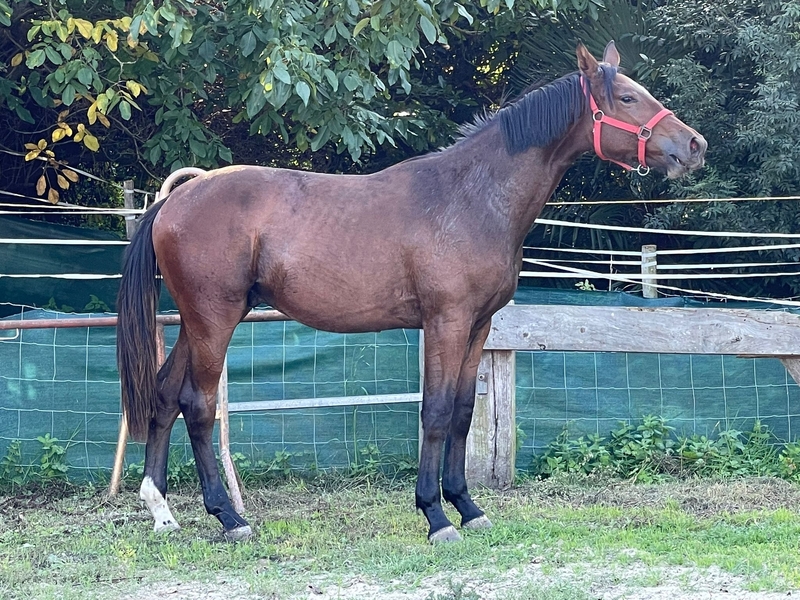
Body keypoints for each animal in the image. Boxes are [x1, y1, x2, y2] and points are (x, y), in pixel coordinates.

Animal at [117, 41, 706, 543]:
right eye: (627, 97)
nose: (694, 145)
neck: (471, 196)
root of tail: (177, 198)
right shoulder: (446, 321)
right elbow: (437, 412)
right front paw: (436, 516)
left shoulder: (478, 325)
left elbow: (464, 412)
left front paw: (468, 507)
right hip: (213, 321)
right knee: (197, 405)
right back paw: (229, 517)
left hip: (199, 323)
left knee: (165, 396)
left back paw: (162, 511)